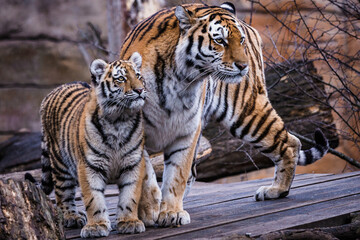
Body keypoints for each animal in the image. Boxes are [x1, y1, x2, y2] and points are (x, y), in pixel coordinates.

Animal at [119, 2, 328, 227]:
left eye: (240, 40)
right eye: (220, 41)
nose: (243, 66)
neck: (178, 79)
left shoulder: (187, 129)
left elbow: (177, 173)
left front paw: (171, 213)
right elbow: (145, 174)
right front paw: (151, 209)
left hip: (246, 113)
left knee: (290, 143)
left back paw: (276, 190)